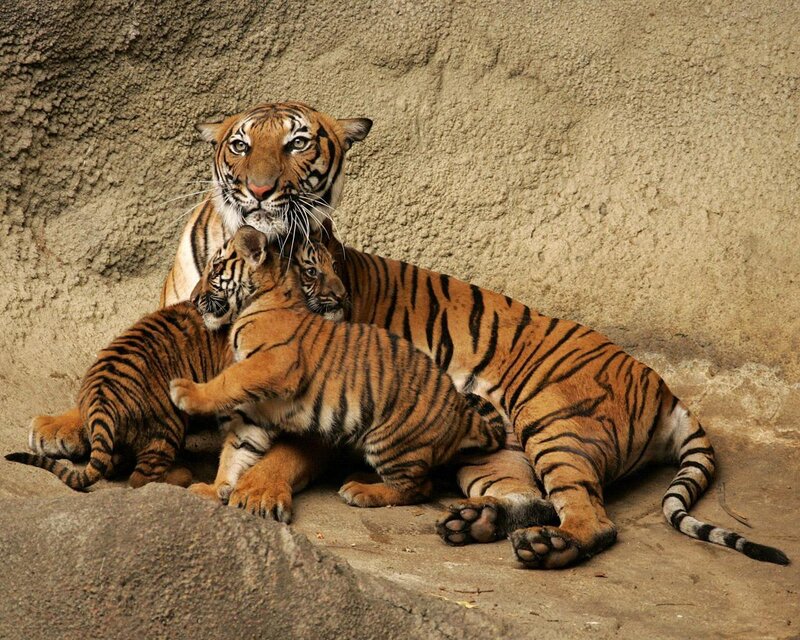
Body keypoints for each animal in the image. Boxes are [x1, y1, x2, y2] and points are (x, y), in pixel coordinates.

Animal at [169, 226, 506, 509]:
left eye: (215, 269)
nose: (194, 299)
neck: (261, 298)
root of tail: (463, 415)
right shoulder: (257, 410)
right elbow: (236, 451)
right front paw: (214, 489)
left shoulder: (274, 363)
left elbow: (229, 380)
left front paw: (185, 392)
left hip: (390, 439)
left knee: (418, 488)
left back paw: (362, 491)